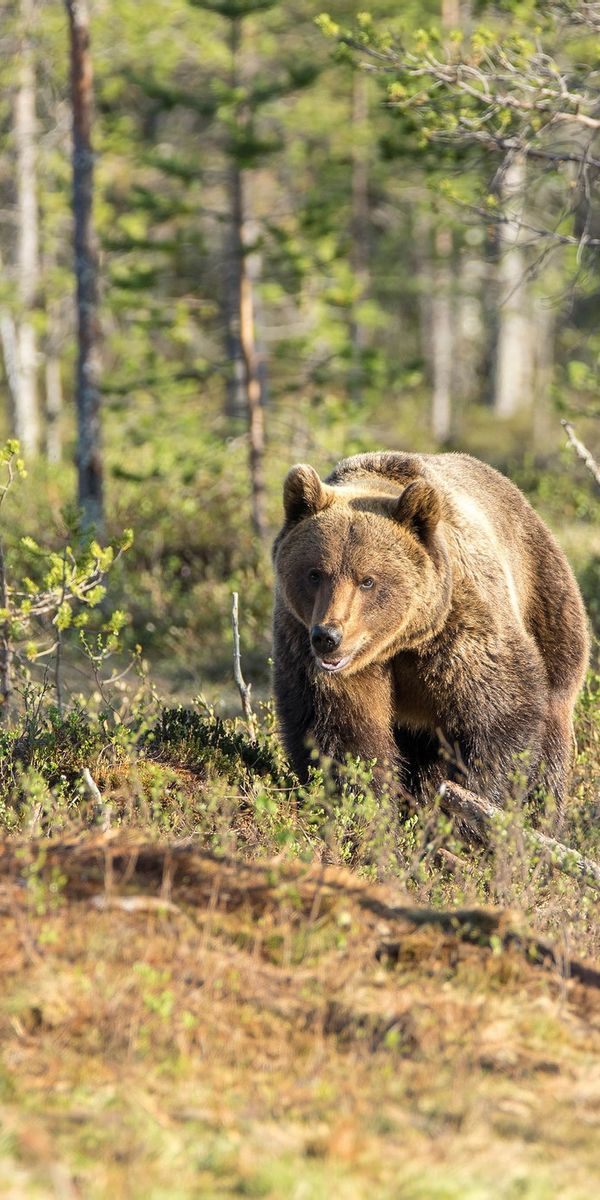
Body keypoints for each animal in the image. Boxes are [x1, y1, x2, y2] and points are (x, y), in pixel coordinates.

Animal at [272, 451, 590, 806]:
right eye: (315, 573)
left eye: (367, 580)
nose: (328, 637)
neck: (397, 642)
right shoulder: (308, 647)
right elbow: (342, 733)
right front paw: (365, 801)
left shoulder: (458, 629)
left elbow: (501, 714)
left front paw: (471, 800)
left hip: (548, 605)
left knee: (551, 737)